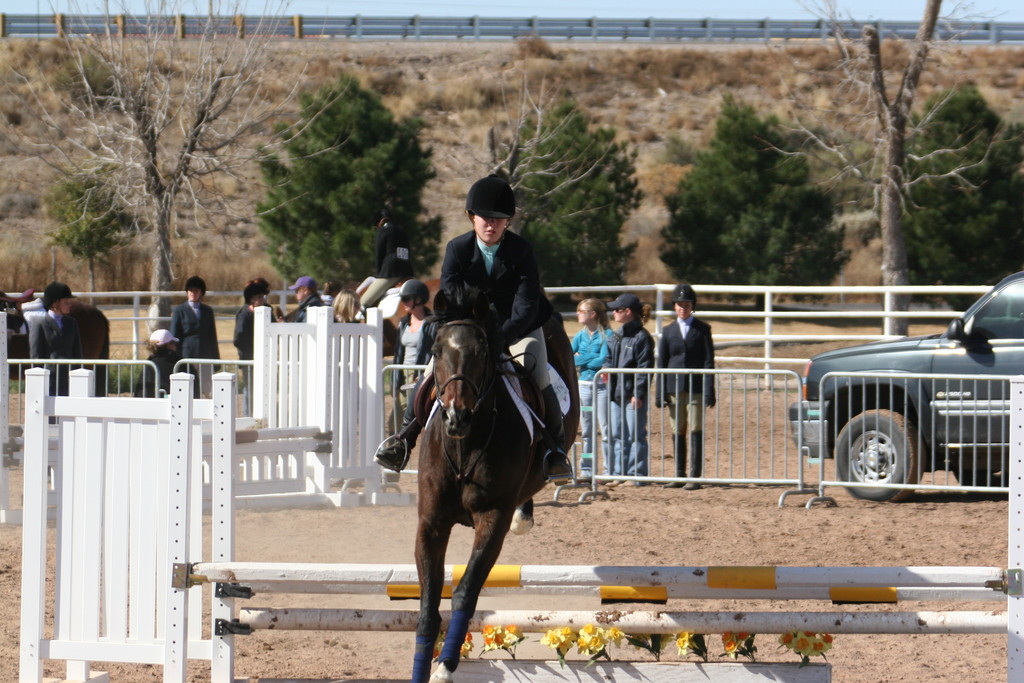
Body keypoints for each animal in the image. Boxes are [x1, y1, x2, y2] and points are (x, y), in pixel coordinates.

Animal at [411, 286, 581, 679]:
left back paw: (527, 512)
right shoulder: (430, 524)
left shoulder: (492, 520)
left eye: (481, 352)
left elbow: (466, 590)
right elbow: (428, 605)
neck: (465, 444)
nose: (456, 416)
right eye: (436, 351)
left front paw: (445, 667)